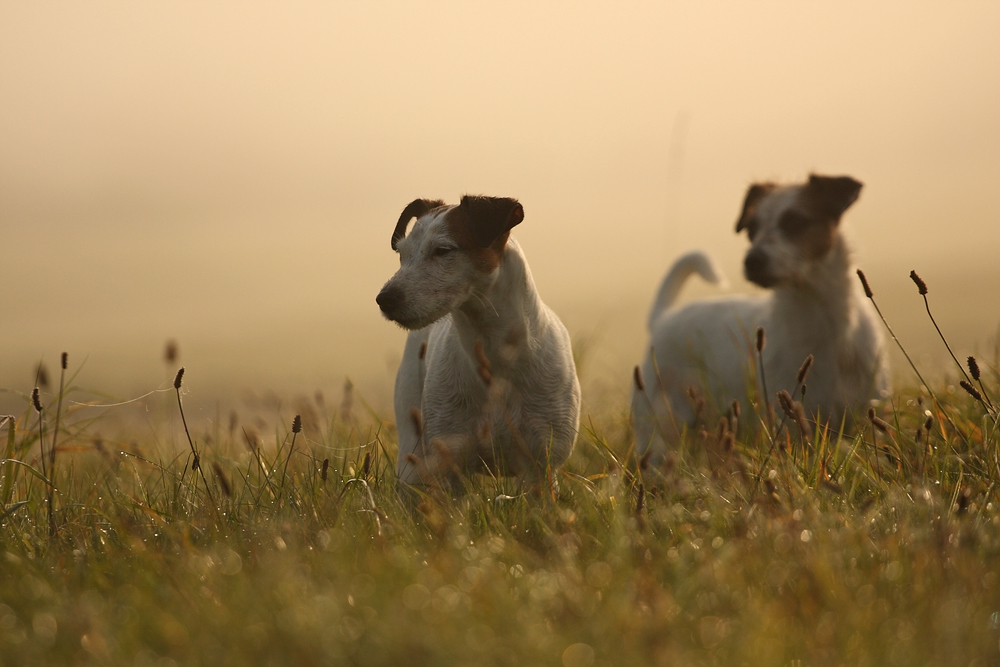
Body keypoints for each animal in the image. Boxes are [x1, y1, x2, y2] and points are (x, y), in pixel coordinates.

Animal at [376, 196, 580, 488]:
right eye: (402, 255)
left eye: (443, 250)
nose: (384, 299)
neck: (495, 358)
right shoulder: (450, 464)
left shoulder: (541, 466)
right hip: (411, 456)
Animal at [632, 172, 892, 460]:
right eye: (751, 230)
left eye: (795, 221)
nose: (752, 260)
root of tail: (663, 318)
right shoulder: (789, 420)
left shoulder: (865, 416)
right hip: (656, 418)